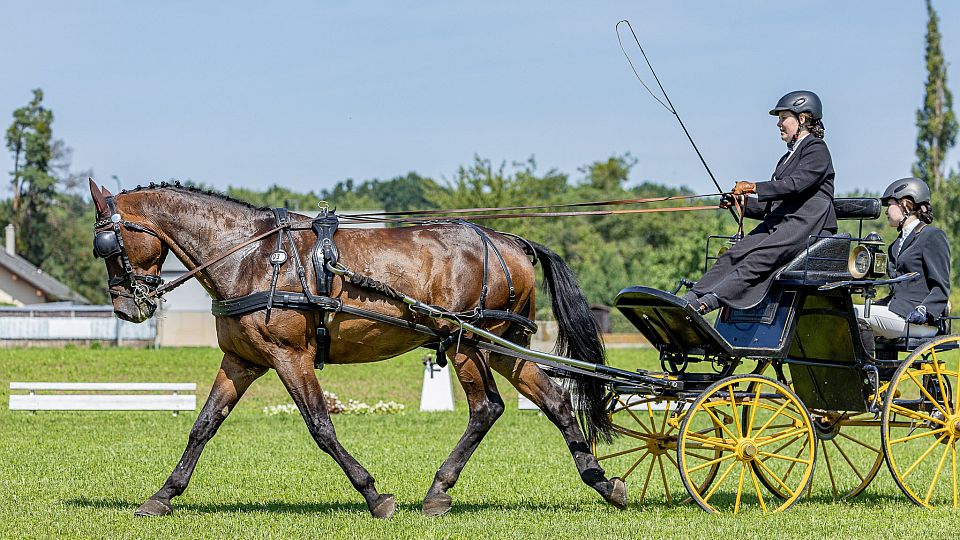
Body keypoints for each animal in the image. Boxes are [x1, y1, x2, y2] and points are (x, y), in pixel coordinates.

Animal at [88, 179, 625, 519]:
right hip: (503, 346)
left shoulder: (290, 356)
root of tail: (508, 240)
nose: (126, 308)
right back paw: (601, 481)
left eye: (108, 245)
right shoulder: (243, 360)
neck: (253, 255)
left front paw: (373, 495)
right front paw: (162, 495)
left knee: (486, 408)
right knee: (555, 402)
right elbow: (204, 426)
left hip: (465, 342)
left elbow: (321, 427)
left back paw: (438, 491)